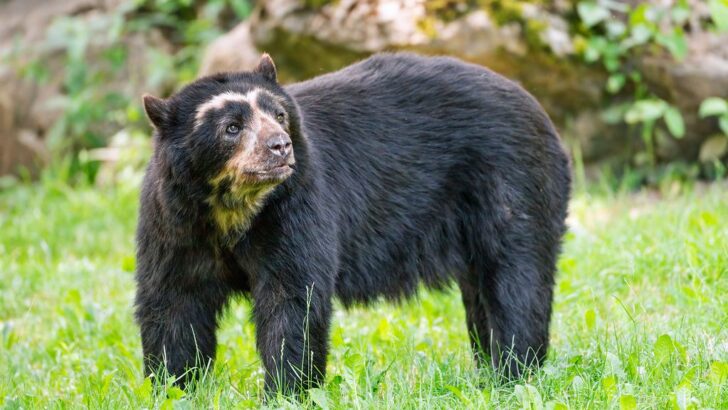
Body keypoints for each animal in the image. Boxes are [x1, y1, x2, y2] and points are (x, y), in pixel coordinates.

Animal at [135, 52, 571, 396]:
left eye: (279, 115)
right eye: (232, 127)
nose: (280, 146)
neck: (233, 209)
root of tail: (538, 110)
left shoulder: (298, 203)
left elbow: (293, 299)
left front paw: (286, 390)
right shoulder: (173, 222)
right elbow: (173, 303)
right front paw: (175, 387)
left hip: (511, 184)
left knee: (517, 282)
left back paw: (514, 373)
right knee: (483, 292)